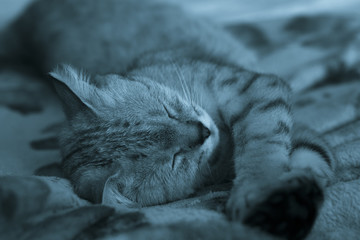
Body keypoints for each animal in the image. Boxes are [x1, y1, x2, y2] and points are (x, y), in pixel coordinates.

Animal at [1, 0, 336, 239]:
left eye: (167, 110)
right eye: (175, 159)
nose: (202, 131)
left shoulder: (256, 88)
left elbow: (267, 146)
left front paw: (260, 185)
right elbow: (309, 155)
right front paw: (286, 206)